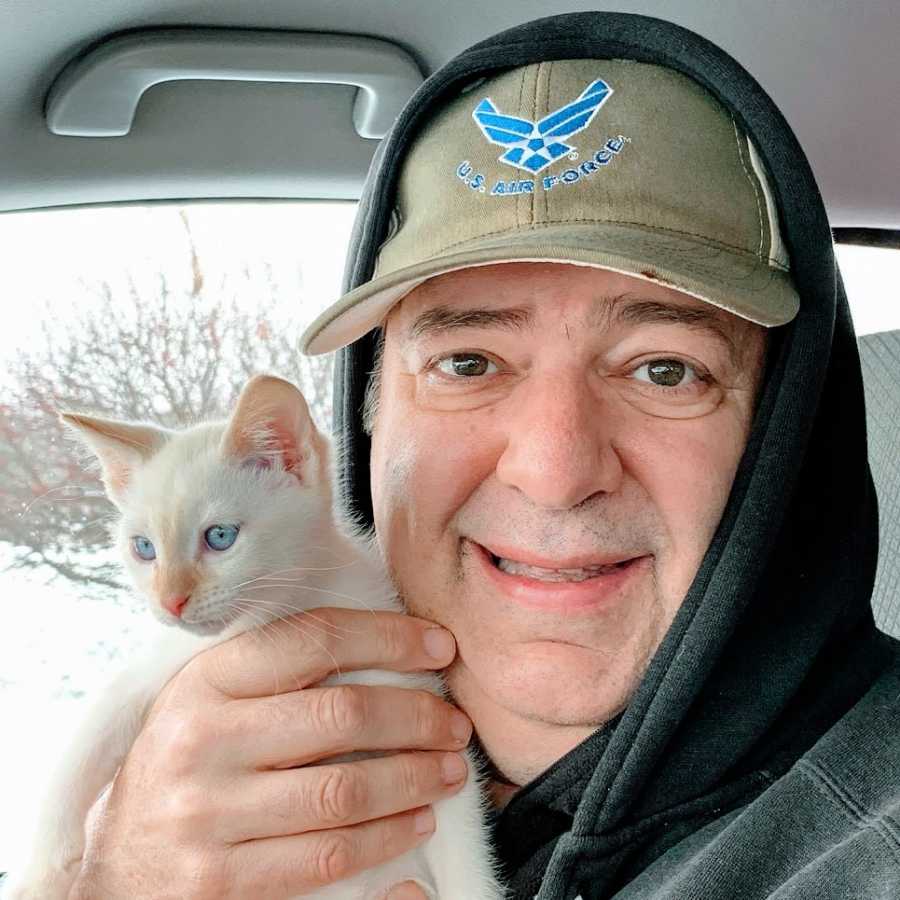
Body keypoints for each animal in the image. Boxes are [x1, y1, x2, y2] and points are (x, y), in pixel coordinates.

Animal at [1, 372, 506, 900]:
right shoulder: (167, 664)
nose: (170, 601)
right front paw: (41, 875)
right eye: (143, 549)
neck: (284, 612)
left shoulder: (425, 719)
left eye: (220, 537)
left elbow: (465, 847)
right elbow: (88, 740)